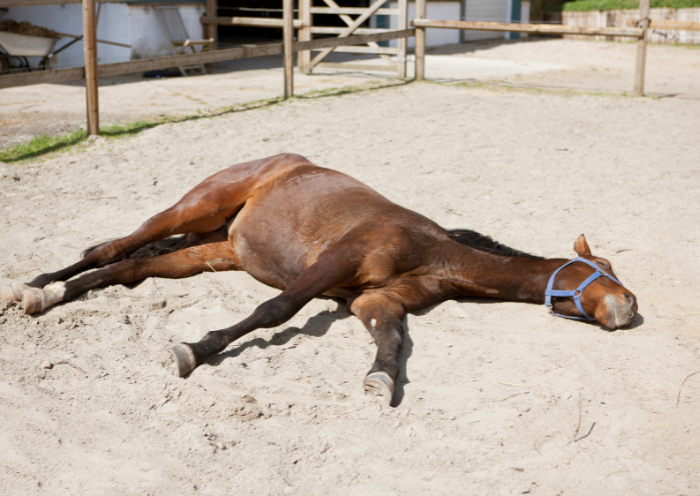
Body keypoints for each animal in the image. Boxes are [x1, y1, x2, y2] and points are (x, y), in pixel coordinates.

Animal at [0, 154, 636, 404]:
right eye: (600, 269)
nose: (629, 307)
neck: (433, 252)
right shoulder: (333, 265)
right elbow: (274, 312)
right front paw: (194, 351)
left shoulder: (376, 300)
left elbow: (393, 342)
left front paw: (380, 380)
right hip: (194, 209)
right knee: (113, 246)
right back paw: (36, 286)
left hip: (215, 251)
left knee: (128, 267)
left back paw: (53, 294)